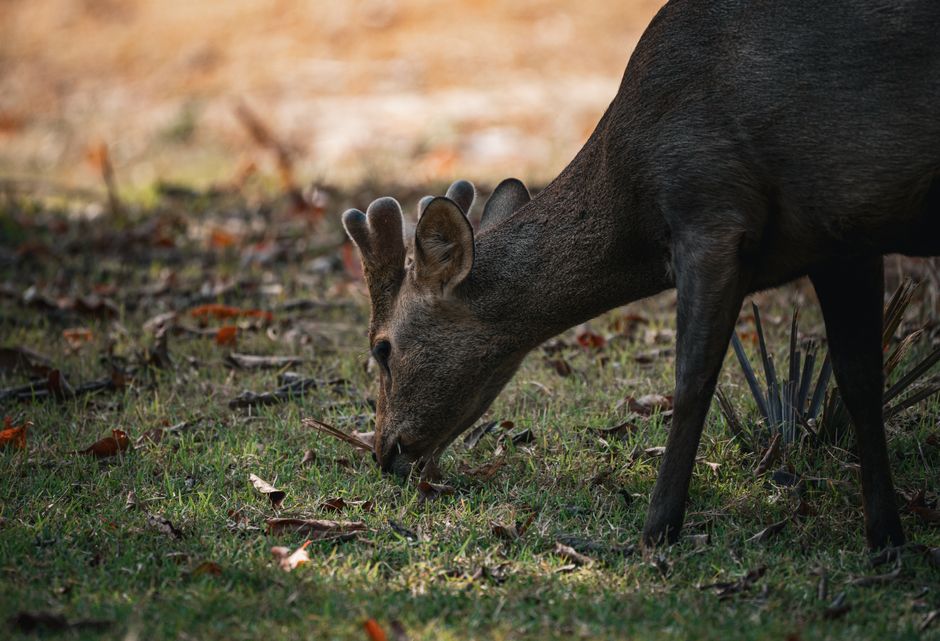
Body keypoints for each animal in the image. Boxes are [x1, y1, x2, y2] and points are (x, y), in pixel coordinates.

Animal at [341, 0, 940, 550]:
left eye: (382, 349)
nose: (384, 451)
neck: (633, 210)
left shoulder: (710, 214)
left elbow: (692, 380)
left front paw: (657, 529)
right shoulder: (844, 234)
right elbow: (861, 379)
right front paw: (886, 536)